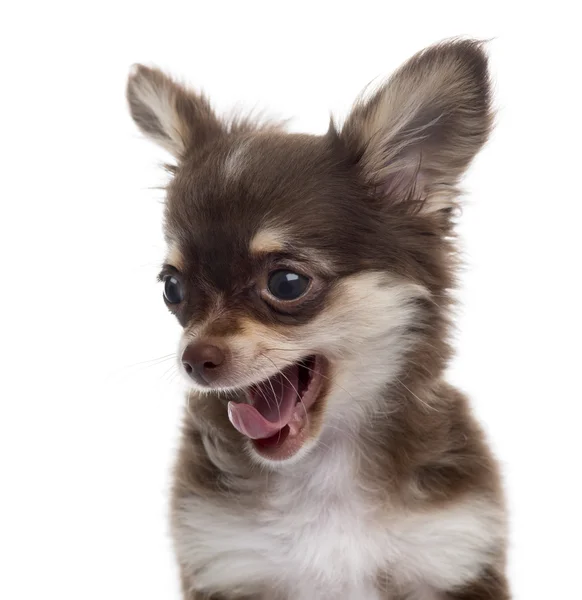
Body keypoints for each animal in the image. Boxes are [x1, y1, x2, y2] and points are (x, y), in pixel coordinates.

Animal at [128, 39, 512, 596]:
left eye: (287, 283)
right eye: (172, 289)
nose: (194, 360)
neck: (322, 470)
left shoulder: (450, 551)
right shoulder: (225, 560)